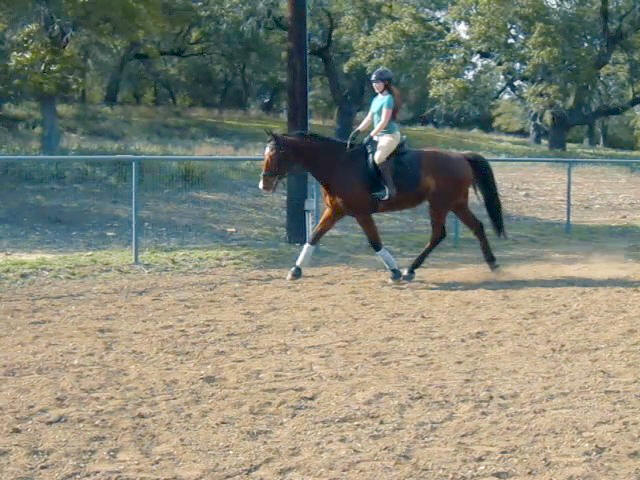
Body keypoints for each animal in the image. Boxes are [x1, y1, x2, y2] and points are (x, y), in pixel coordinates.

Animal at [256, 131, 504, 282]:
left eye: (275, 154)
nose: (263, 184)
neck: (338, 165)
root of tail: (460, 157)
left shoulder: (361, 213)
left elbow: (375, 242)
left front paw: (394, 272)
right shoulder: (335, 210)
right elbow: (314, 236)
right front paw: (295, 270)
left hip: (440, 204)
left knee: (438, 234)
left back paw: (409, 270)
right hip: (455, 203)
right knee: (477, 227)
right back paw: (493, 265)